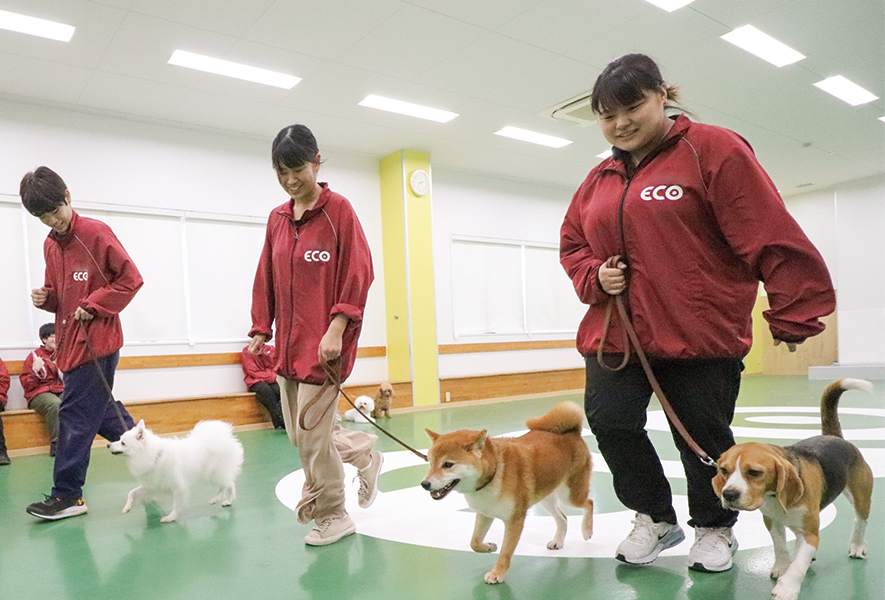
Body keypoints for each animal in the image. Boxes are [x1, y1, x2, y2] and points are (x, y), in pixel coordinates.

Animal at [108, 420, 243, 524]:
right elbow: (131, 493)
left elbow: (177, 504)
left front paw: (171, 517)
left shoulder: (178, 487)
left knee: (226, 485)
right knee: (229, 484)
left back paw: (217, 498)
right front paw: (127, 507)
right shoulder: (152, 485)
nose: (108, 445)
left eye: (123, 443)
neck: (154, 455)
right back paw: (228, 501)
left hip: (213, 474)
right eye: (119, 439)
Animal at [418, 404, 592, 580]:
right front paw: (488, 547)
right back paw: (558, 541)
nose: (424, 484)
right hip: (546, 497)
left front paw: (497, 573)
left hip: (569, 495)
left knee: (588, 503)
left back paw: (587, 531)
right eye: (430, 463)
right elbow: (474, 542)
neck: (494, 473)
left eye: (447, 465)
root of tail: (573, 432)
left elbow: (506, 552)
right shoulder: (485, 514)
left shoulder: (514, 519)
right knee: (563, 518)